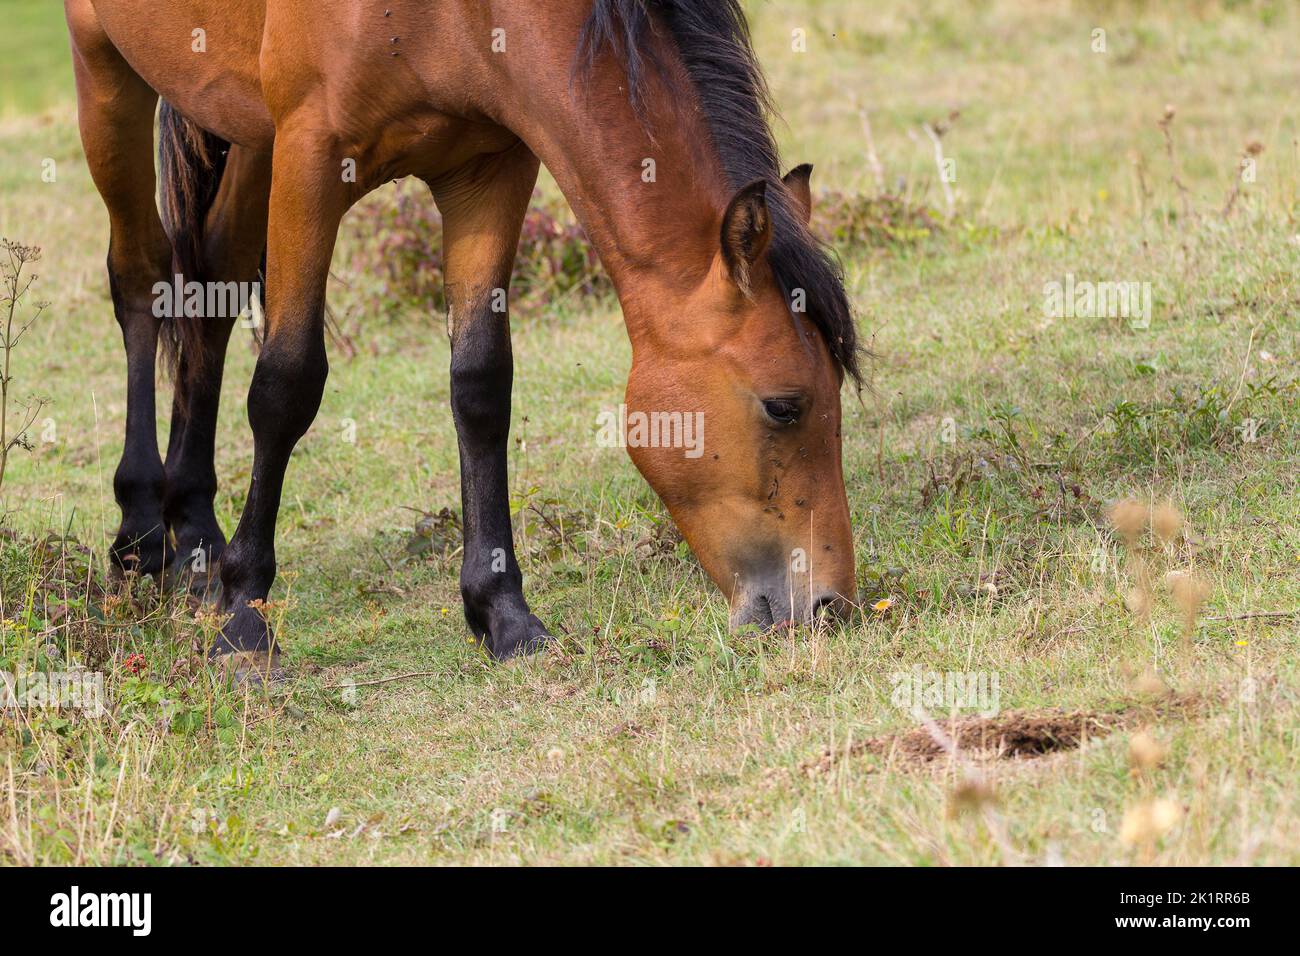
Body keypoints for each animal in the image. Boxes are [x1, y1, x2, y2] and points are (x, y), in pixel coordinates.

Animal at [64, 0, 862, 675]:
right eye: (784, 405)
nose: (829, 607)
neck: (455, 17)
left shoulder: (487, 170)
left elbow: (480, 384)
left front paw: (504, 616)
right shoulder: (311, 157)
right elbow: (286, 386)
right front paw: (245, 627)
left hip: (246, 130)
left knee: (211, 285)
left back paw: (197, 539)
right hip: (108, 71)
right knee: (140, 279)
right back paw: (144, 529)